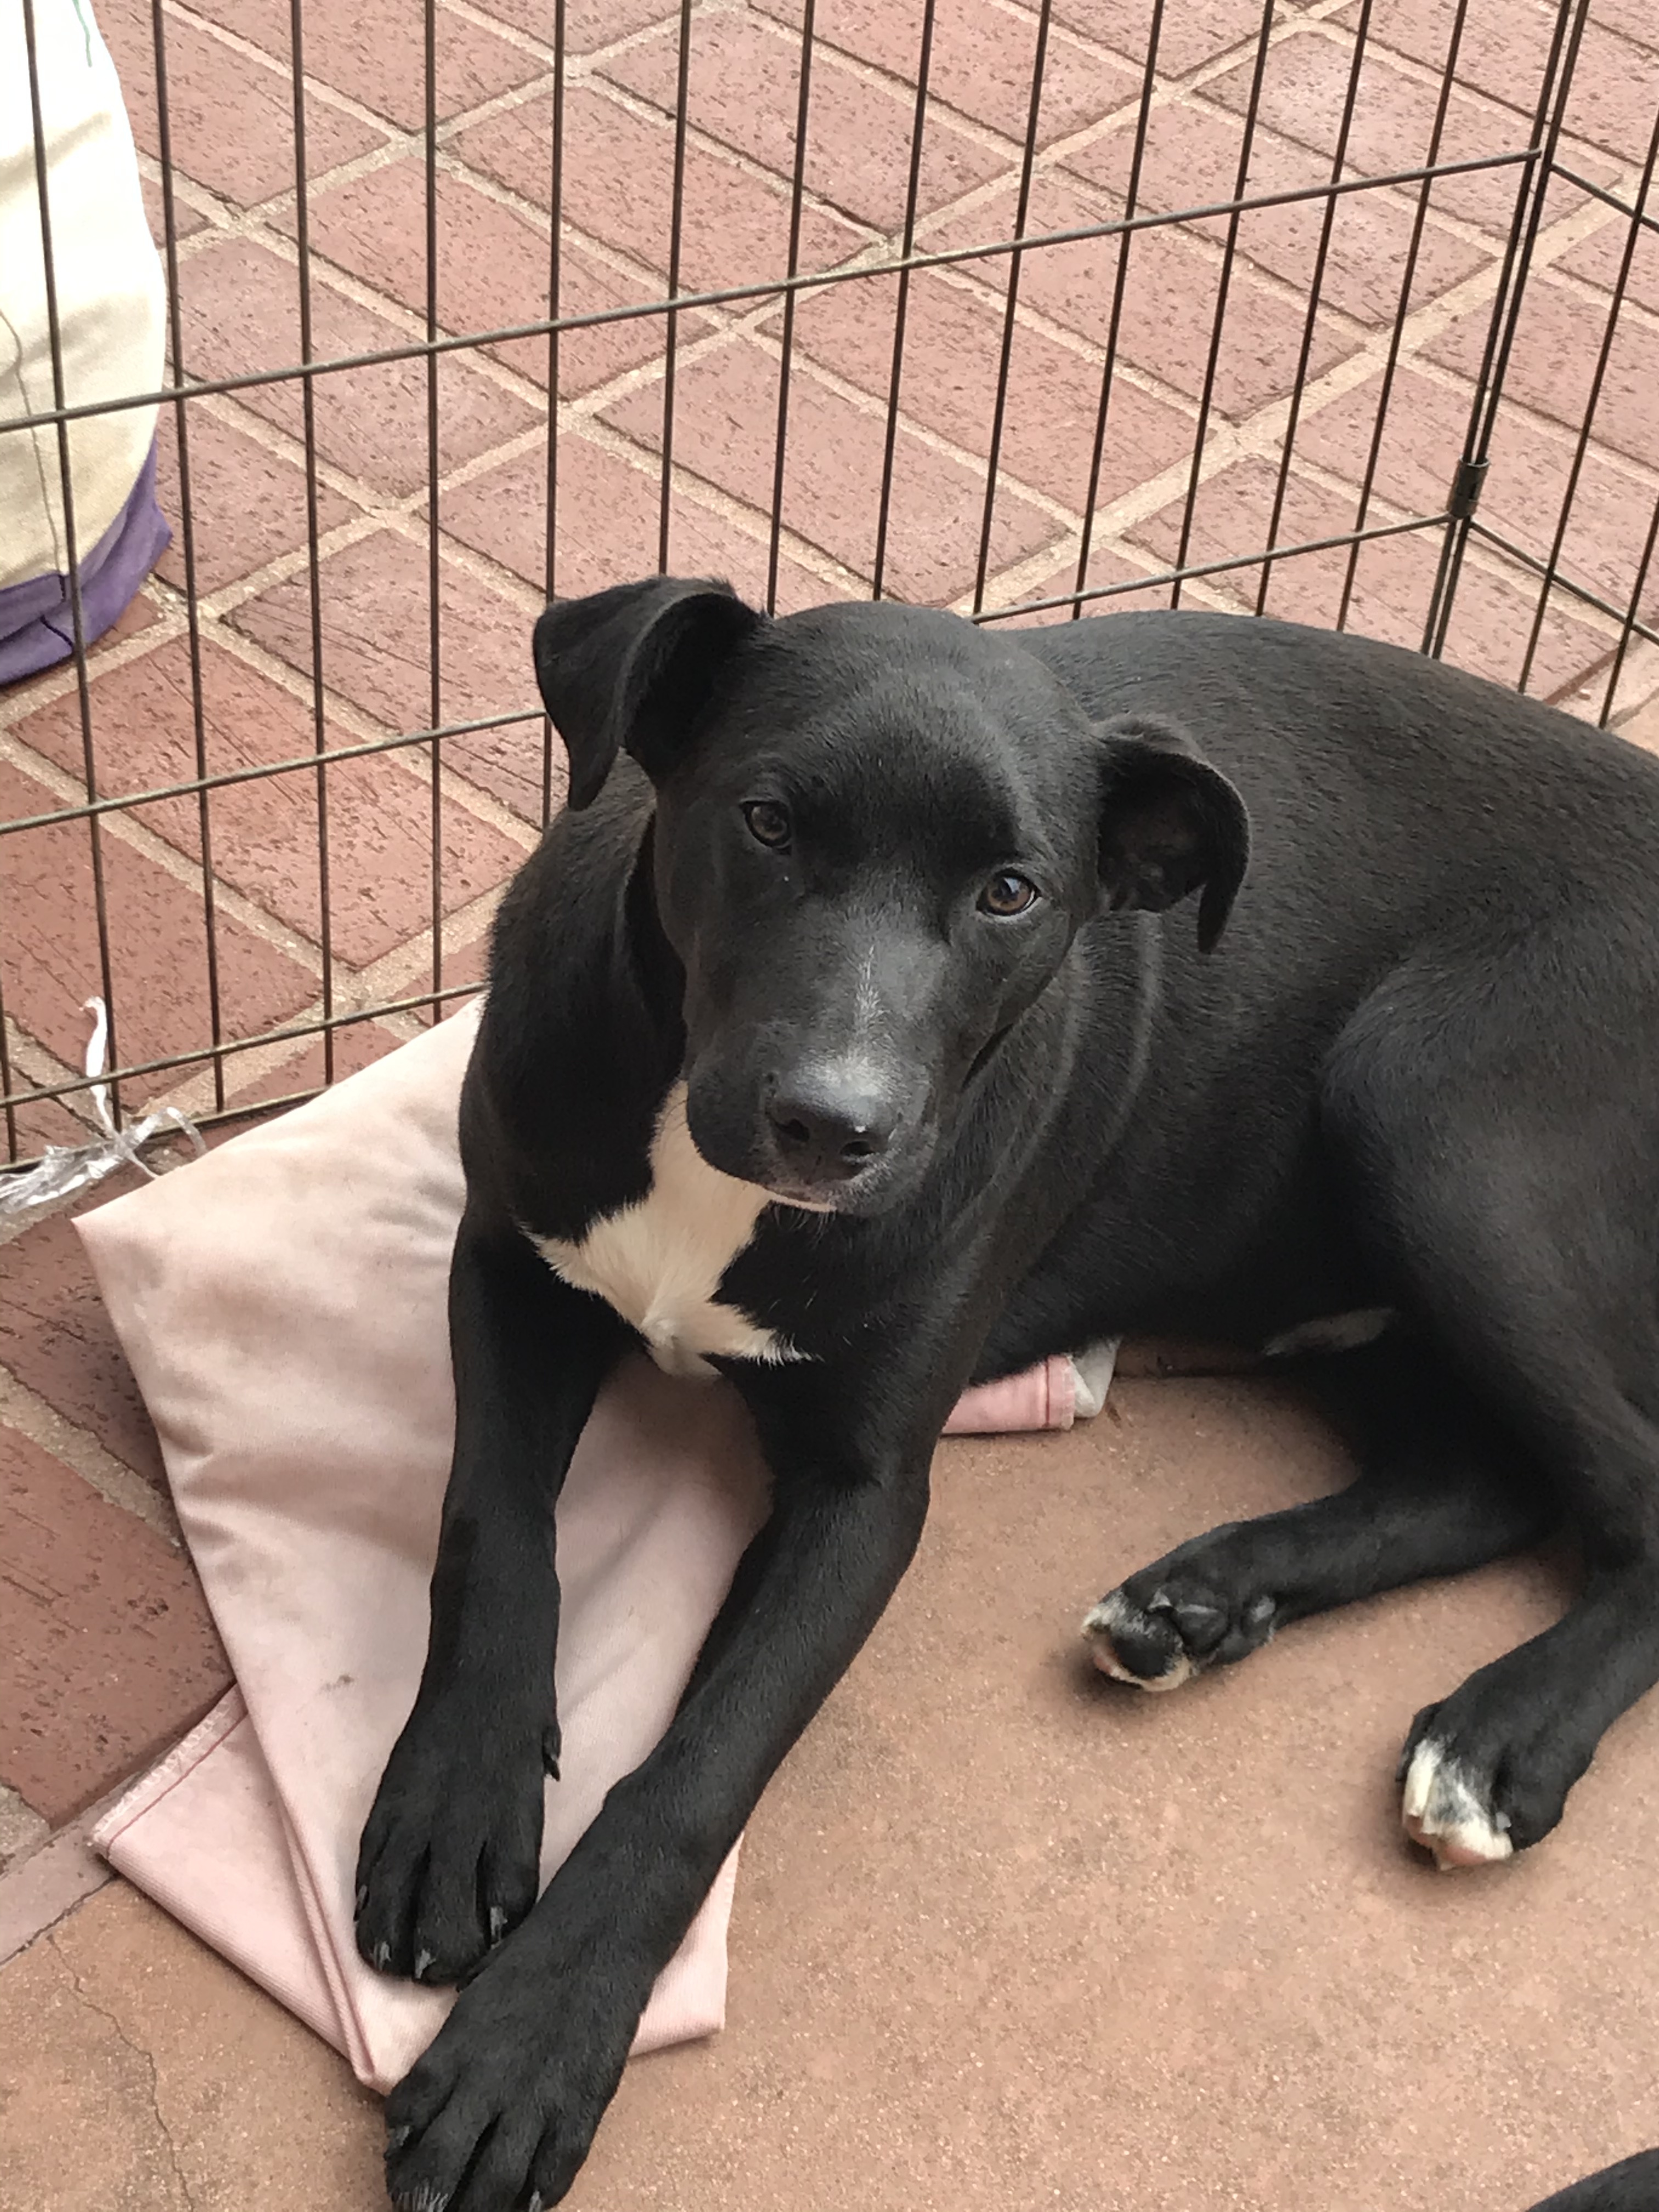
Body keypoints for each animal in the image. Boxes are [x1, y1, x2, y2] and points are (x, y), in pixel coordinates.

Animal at [352, 579, 1659, 2203]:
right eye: (766, 821)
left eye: (1014, 893)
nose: (831, 1126)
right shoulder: (510, 1259)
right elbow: (494, 1530)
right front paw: (455, 1802)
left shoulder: (864, 1499)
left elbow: (699, 1768)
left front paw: (532, 2046)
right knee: (1480, 1479)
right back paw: (1200, 1602)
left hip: (1439, 1107)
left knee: (1623, 1493)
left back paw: (1503, 1736)